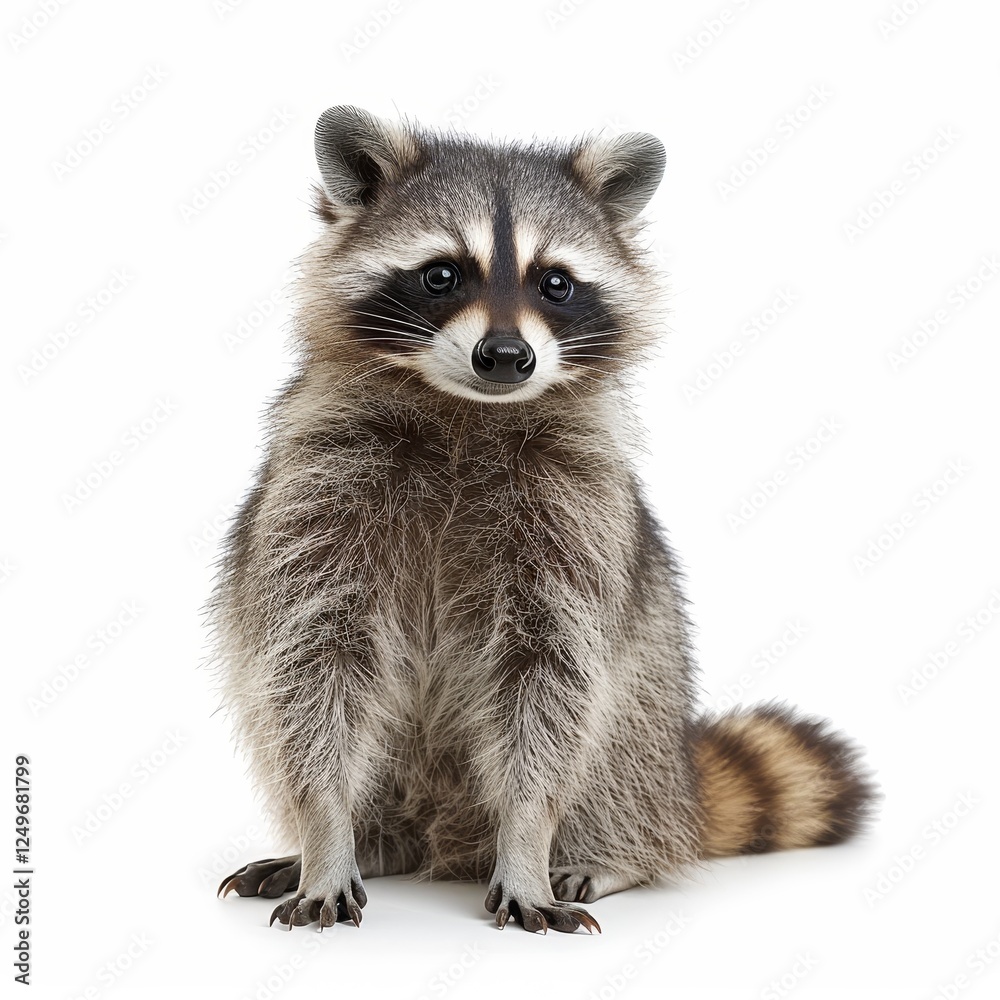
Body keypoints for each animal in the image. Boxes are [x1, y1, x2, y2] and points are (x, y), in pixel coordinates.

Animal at [212, 106, 876, 934]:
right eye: (441, 274)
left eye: (554, 283)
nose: (506, 355)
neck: (465, 410)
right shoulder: (320, 487)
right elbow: (311, 663)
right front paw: (327, 830)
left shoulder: (576, 508)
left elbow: (551, 680)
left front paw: (527, 838)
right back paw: (370, 839)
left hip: (649, 730)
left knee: (618, 753)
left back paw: (609, 851)